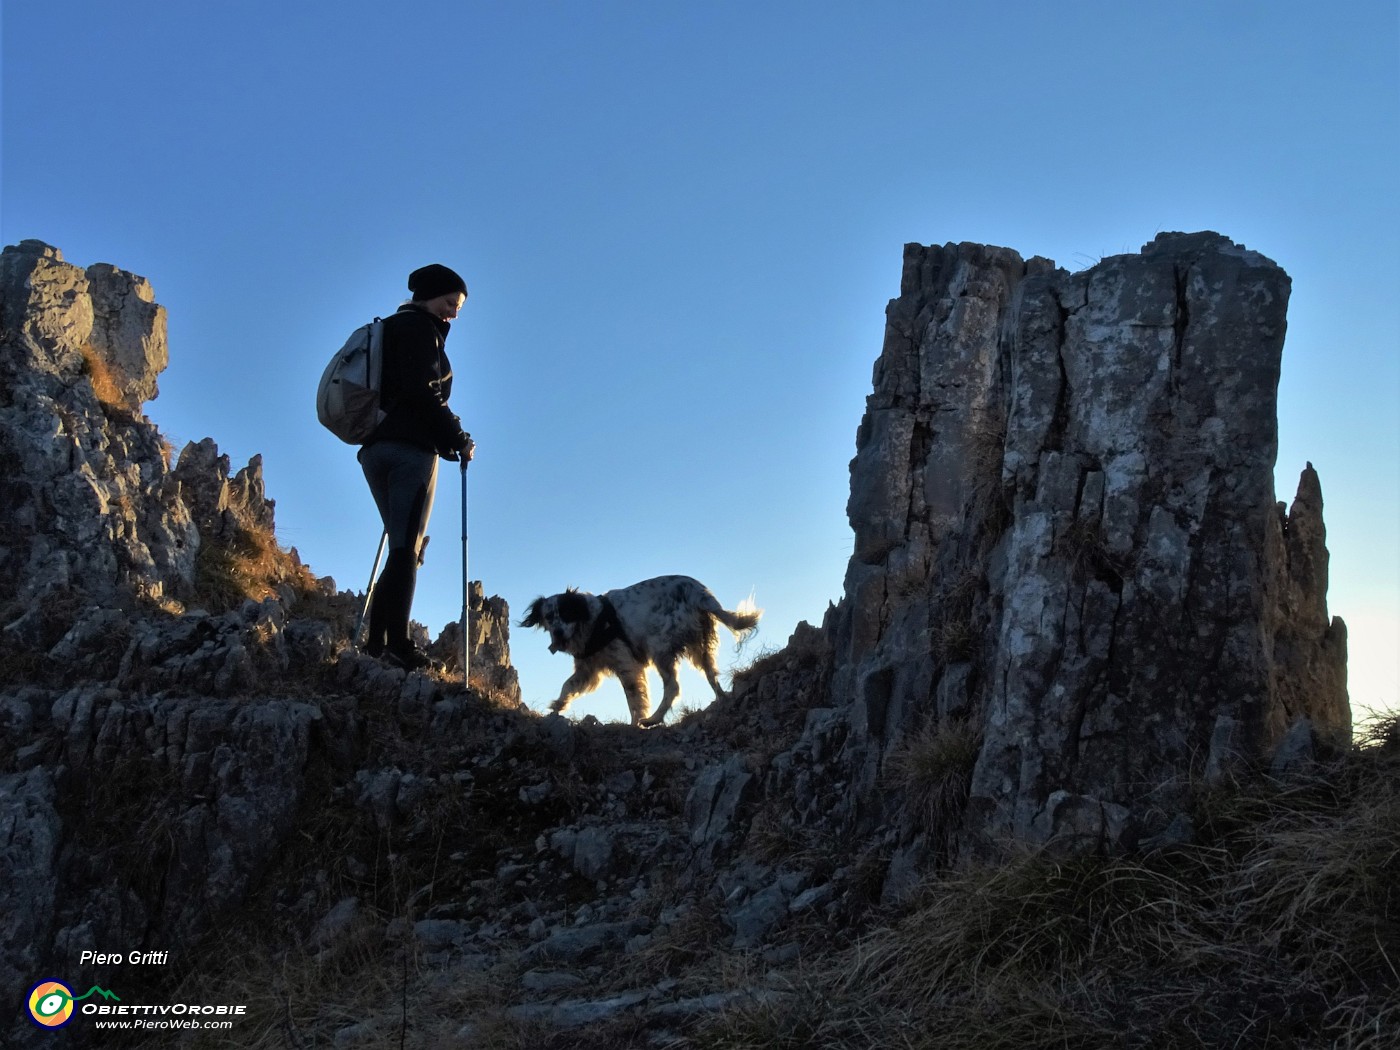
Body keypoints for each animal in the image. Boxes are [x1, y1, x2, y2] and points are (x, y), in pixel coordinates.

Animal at [523, 579, 767, 728]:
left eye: (566, 613)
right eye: (548, 617)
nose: (558, 633)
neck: (591, 621)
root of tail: (697, 591)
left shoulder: (626, 666)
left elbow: (634, 699)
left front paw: (635, 723)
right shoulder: (587, 670)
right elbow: (567, 686)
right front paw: (557, 706)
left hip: (660, 647)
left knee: (672, 687)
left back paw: (653, 719)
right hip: (701, 649)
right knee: (711, 676)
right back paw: (722, 699)